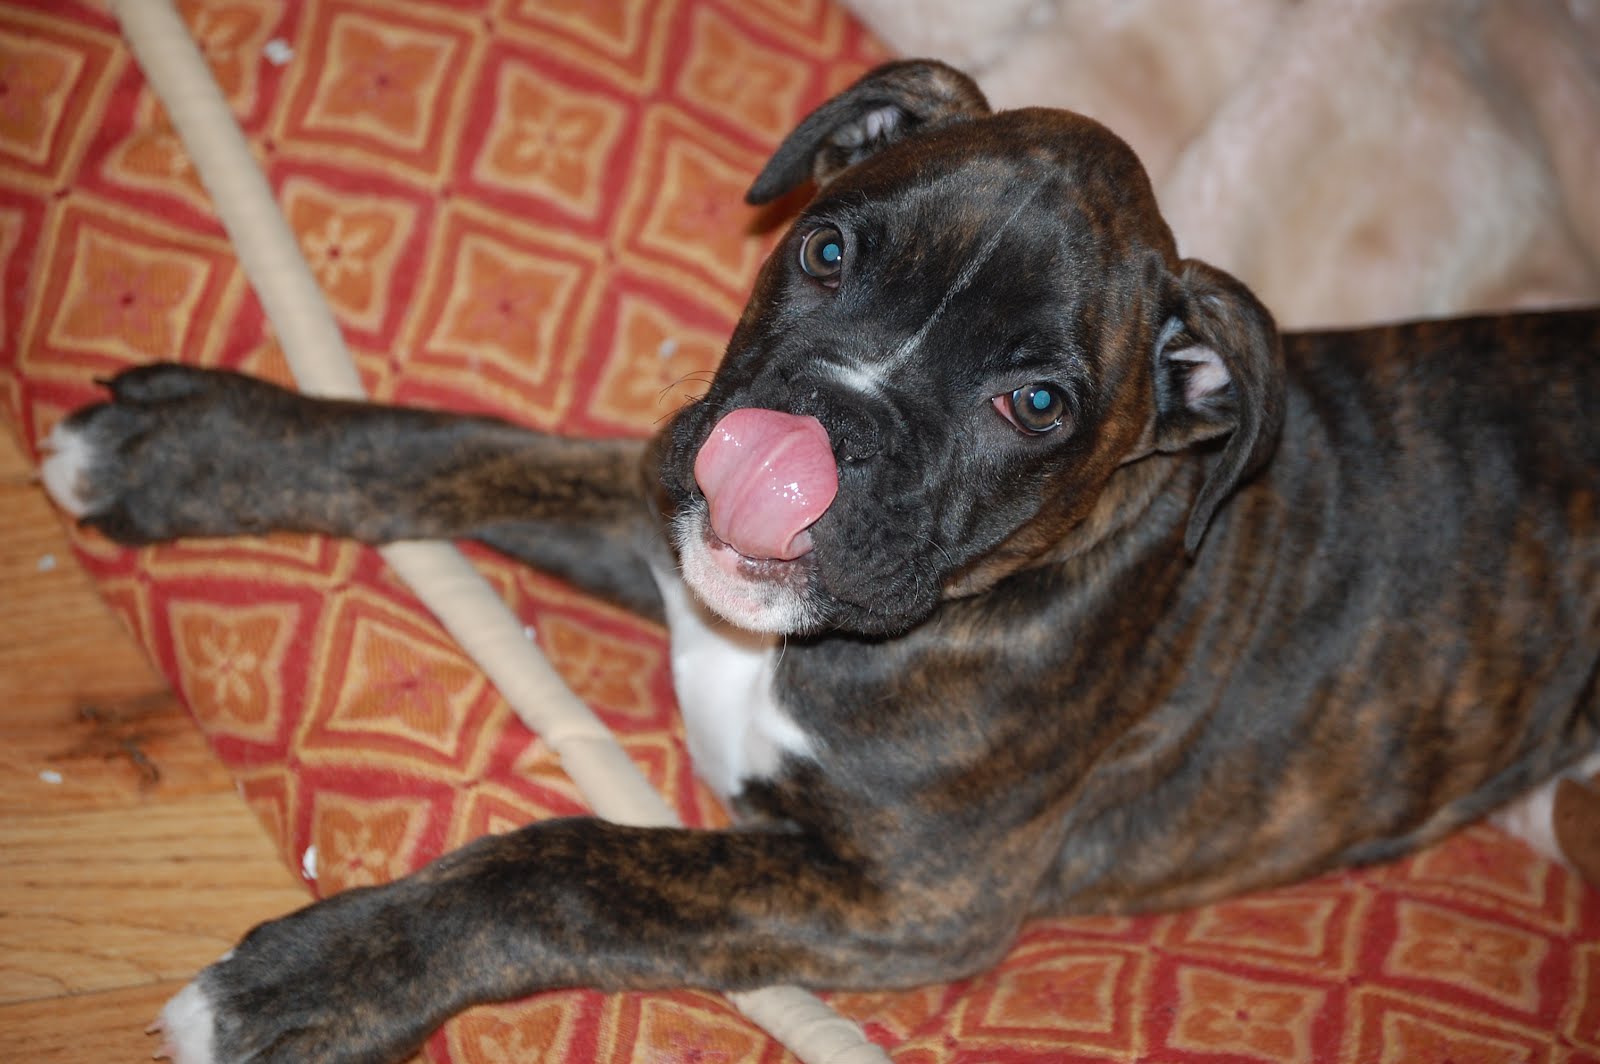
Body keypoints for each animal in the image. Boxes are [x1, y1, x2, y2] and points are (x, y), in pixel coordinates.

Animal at [40, 60, 1600, 1063]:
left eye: (1038, 402)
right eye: (829, 251)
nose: (815, 431)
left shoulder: (899, 903)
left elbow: (568, 865)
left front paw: (313, 981)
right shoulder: (669, 525)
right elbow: (458, 444)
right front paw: (192, 445)